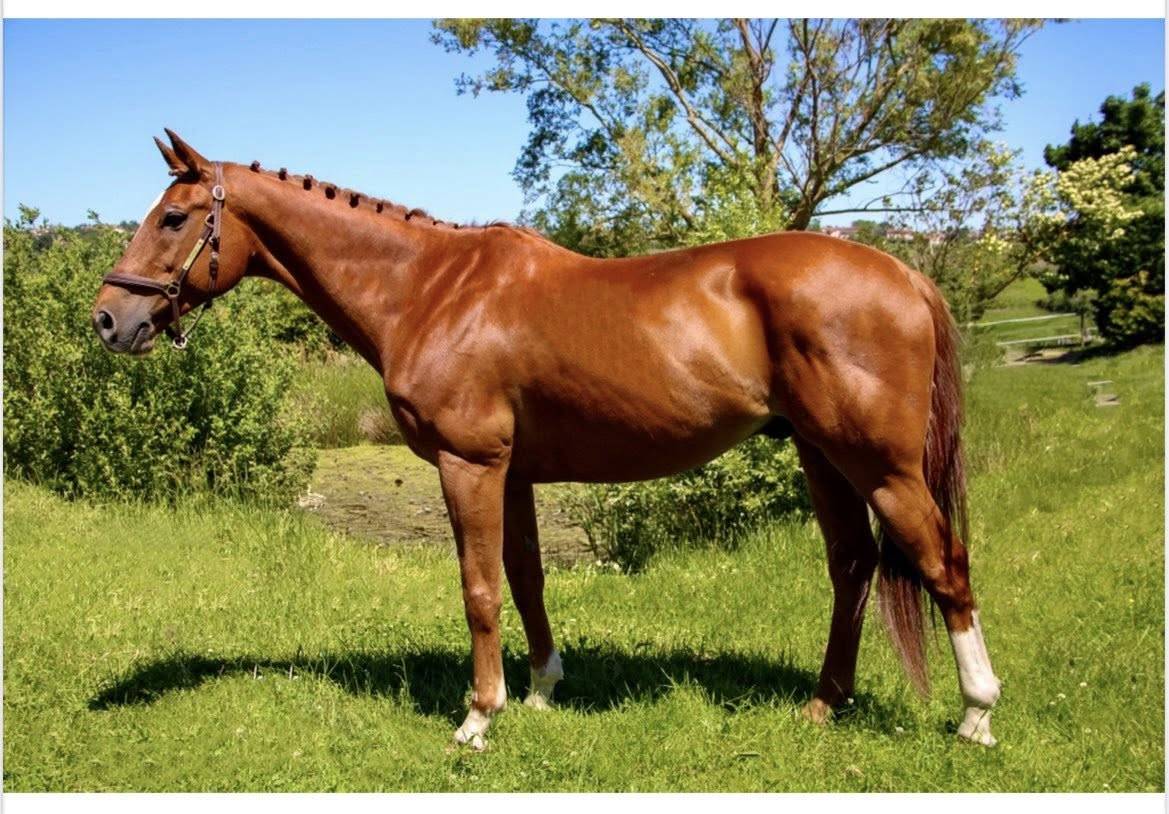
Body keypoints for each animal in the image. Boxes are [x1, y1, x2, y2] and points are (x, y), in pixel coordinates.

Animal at [91, 130, 1001, 750]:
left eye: (174, 218)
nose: (108, 319)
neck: (428, 289)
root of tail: (905, 272)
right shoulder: (516, 472)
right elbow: (525, 578)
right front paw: (540, 689)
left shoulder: (469, 465)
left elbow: (479, 589)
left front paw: (477, 718)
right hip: (820, 455)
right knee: (851, 565)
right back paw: (822, 704)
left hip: (879, 465)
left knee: (943, 564)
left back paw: (975, 715)